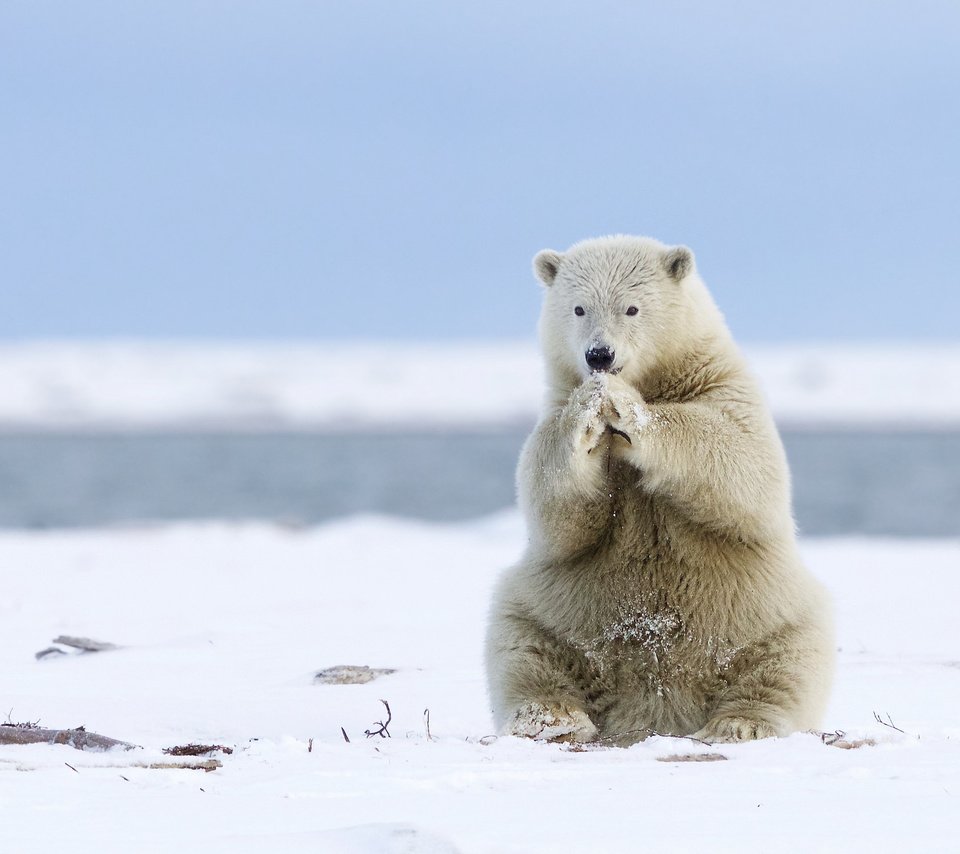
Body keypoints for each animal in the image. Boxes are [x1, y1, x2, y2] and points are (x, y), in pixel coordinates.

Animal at [488, 234, 832, 744]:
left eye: (632, 308)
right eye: (578, 307)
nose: (599, 355)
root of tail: (654, 711)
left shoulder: (723, 388)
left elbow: (743, 461)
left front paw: (626, 408)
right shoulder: (552, 407)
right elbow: (554, 507)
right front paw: (590, 409)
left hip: (765, 612)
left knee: (787, 660)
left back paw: (740, 722)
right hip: (554, 609)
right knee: (523, 644)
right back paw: (551, 717)